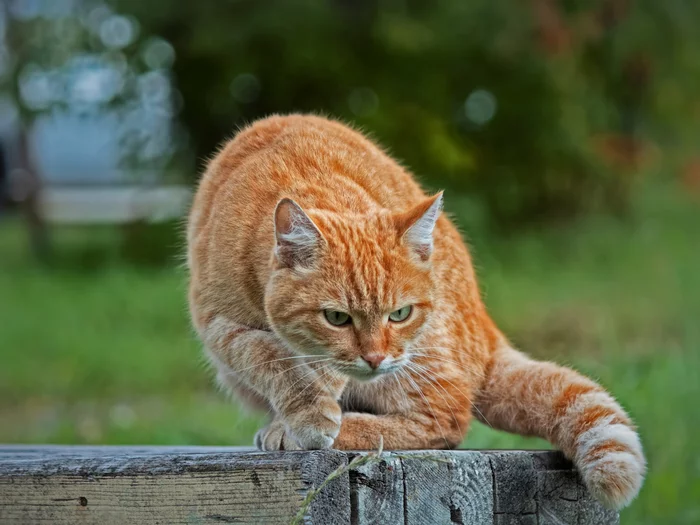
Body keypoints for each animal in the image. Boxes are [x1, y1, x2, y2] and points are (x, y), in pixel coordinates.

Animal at [186, 113, 644, 508]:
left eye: (400, 314)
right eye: (337, 318)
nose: (374, 358)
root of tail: (487, 332)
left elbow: (318, 373)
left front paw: (311, 420)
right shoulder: (219, 325)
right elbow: (270, 356)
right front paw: (308, 408)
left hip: (420, 365)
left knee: (444, 421)